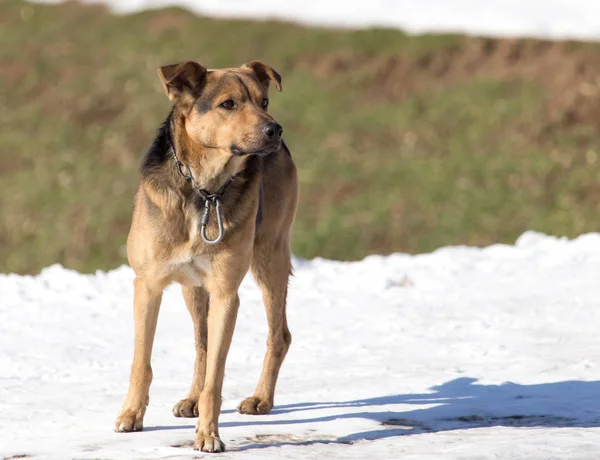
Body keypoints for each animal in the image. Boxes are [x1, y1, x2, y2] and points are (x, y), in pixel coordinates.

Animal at [113, 58, 298, 452]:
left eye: (264, 101)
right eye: (228, 104)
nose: (275, 129)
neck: (204, 189)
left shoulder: (227, 293)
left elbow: (217, 374)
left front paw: (209, 435)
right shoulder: (147, 286)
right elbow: (142, 362)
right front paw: (131, 414)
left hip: (270, 259)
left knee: (279, 335)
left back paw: (261, 399)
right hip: (193, 287)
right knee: (201, 343)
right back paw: (192, 399)